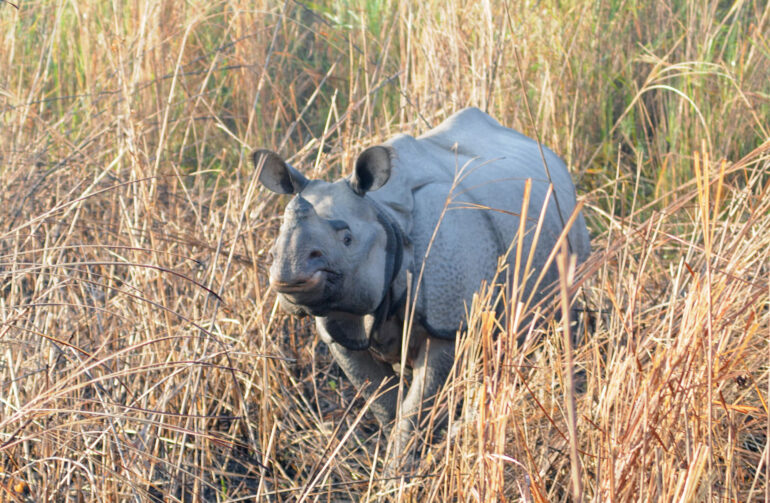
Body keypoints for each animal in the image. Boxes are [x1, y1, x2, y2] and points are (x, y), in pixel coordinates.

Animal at [253, 107, 590, 464]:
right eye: (276, 240)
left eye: (347, 239)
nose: (289, 272)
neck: (386, 219)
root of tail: (550, 155)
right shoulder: (341, 328)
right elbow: (383, 401)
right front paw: (395, 457)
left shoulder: (449, 323)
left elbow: (416, 410)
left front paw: (400, 467)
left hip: (568, 221)